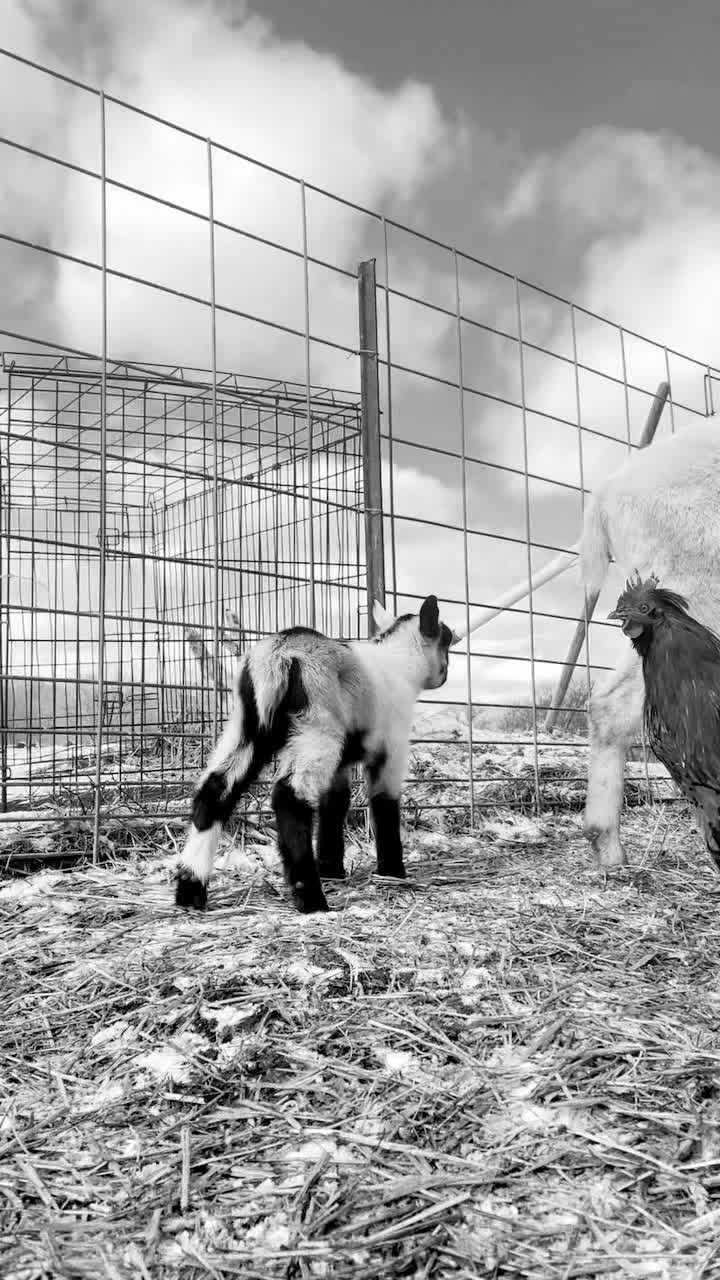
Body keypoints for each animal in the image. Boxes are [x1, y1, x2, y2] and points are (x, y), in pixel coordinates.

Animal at [175, 594, 454, 914]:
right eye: (447, 640)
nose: (445, 674)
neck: (400, 662)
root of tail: (277, 655)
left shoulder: (341, 765)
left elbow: (335, 804)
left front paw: (331, 869)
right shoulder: (391, 749)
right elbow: (384, 805)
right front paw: (392, 873)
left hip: (247, 729)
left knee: (214, 791)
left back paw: (190, 889)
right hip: (317, 729)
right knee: (289, 797)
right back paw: (310, 897)